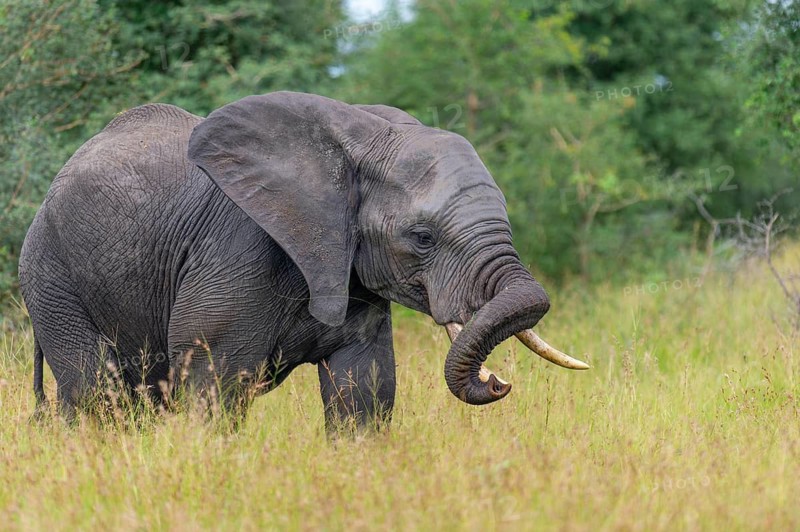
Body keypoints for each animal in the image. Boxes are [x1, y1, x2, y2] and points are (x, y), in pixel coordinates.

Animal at [19, 91, 588, 429]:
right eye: (423, 237)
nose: (498, 382)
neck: (356, 141)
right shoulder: (237, 250)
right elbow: (215, 383)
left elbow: (365, 389)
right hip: (49, 275)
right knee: (95, 391)